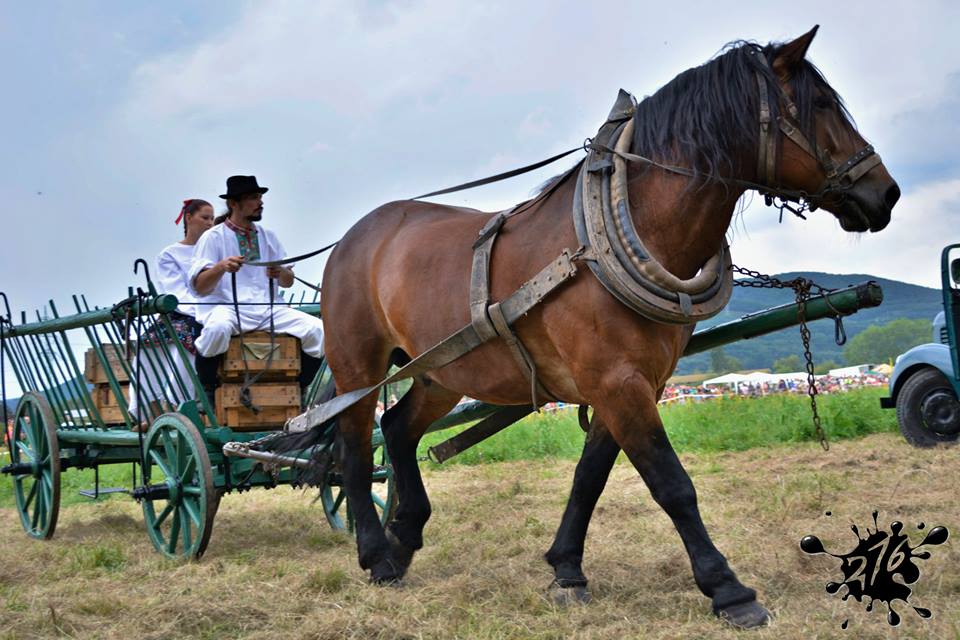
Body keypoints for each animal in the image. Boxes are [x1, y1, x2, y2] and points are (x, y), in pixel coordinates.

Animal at [314, 27, 892, 628]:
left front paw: (567, 569)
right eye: (820, 104)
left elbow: (589, 477)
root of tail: (354, 237)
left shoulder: (633, 383)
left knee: (398, 429)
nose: (886, 192)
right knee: (354, 448)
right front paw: (728, 589)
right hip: (358, 365)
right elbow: (672, 483)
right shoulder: (616, 381)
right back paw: (376, 554)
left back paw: (404, 537)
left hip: (441, 371)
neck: (604, 240)